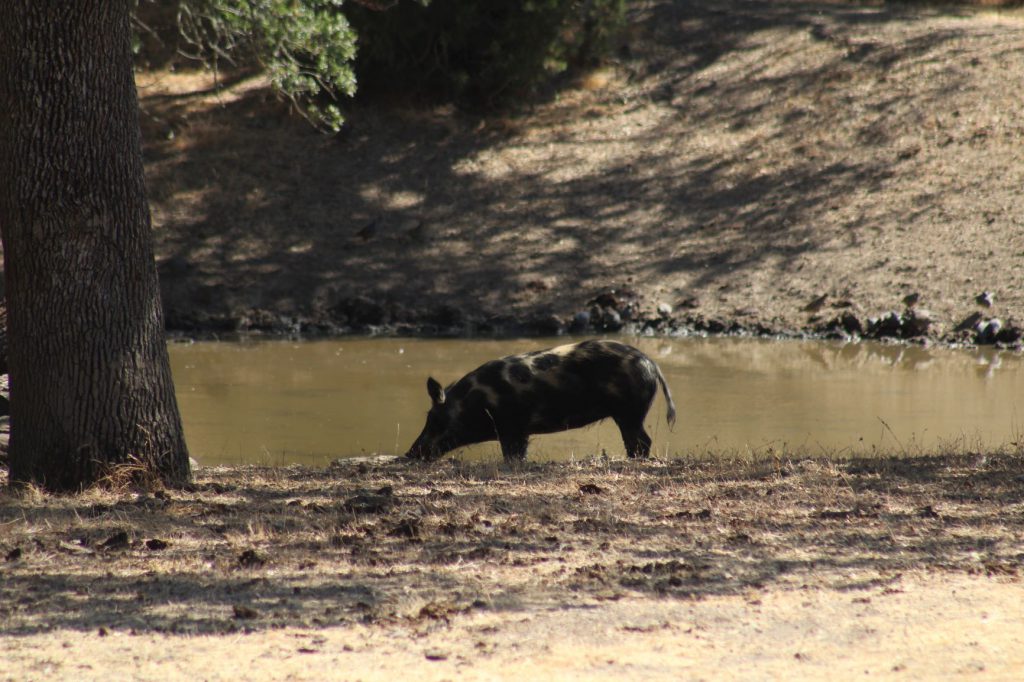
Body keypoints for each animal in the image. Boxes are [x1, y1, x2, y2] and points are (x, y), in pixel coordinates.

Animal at [403, 339, 675, 462]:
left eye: (435, 419)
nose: (410, 453)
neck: (477, 399)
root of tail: (651, 363)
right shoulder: (517, 431)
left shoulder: (512, 428)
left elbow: (513, 455)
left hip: (630, 413)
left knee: (641, 441)